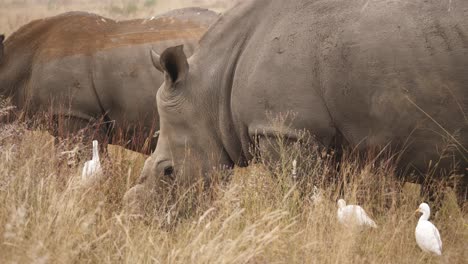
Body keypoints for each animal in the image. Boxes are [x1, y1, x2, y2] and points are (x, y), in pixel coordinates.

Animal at [126, 0, 466, 206]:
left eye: (168, 172)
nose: (141, 217)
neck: (211, 90)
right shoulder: (325, 140)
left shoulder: (287, 131)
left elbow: (297, 198)